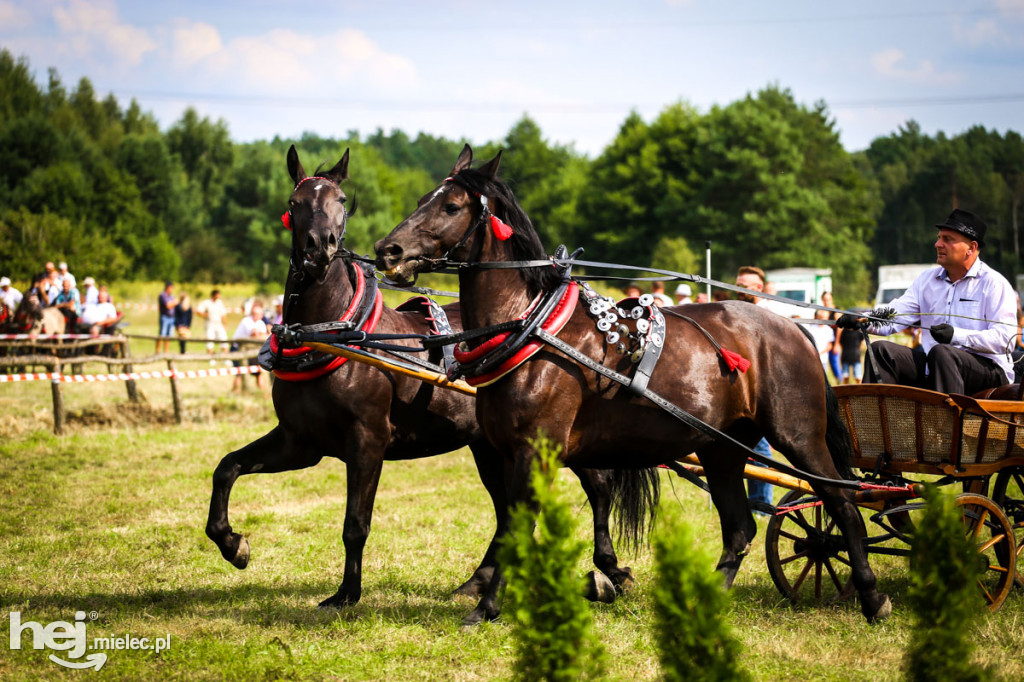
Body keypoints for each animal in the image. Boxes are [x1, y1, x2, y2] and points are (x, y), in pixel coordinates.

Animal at [202, 144, 630, 606]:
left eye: (341, 202)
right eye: (293, 203)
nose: (319, 248)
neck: (332, 334)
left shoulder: (367, 441)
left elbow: (355, 524)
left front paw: (346, 594)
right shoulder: (300, 442)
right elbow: (227, 468)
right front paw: (232, 543)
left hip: (553, 438)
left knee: (599, 486)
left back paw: (608, 571)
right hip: (490, 446)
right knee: (505, 510)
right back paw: (479, 581)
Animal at [374, 143, 888, 622]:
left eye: (451, 206)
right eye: (421, 199)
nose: (387, 251)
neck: (531, 329)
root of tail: (793, 328)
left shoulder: (535, 451)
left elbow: (518, 526)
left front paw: (489, 605)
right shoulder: (504, 450)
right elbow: (510, 525)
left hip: (798, 436)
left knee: (841, 501)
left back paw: (871, 595)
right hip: (722, 447)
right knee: (740, 527)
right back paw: (708, 600)